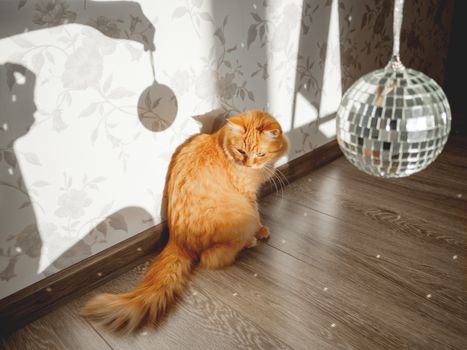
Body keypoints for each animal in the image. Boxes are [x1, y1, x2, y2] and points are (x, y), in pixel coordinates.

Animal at [82, 110, 290, 334]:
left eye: (260, 154)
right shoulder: (248, 196)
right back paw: (249, 241)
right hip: (241, 217)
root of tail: (177, 240)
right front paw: (261, 230)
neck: (223, 145)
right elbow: (258, 213)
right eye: (240, 150)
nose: (248, 164)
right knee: (213, 257)